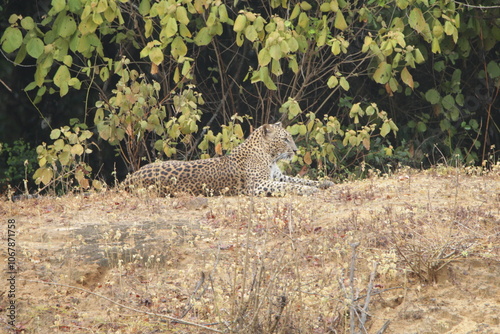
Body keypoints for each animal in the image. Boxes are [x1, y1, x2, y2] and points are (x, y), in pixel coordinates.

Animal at [123, 122, 334, 196]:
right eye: (284, 139)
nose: (296, 150)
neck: (270, 156)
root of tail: (131, 176)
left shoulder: (276, 176)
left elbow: (299, 179)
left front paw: (324, 183)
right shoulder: (258, 185)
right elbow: (289, 186)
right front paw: (308, 190)